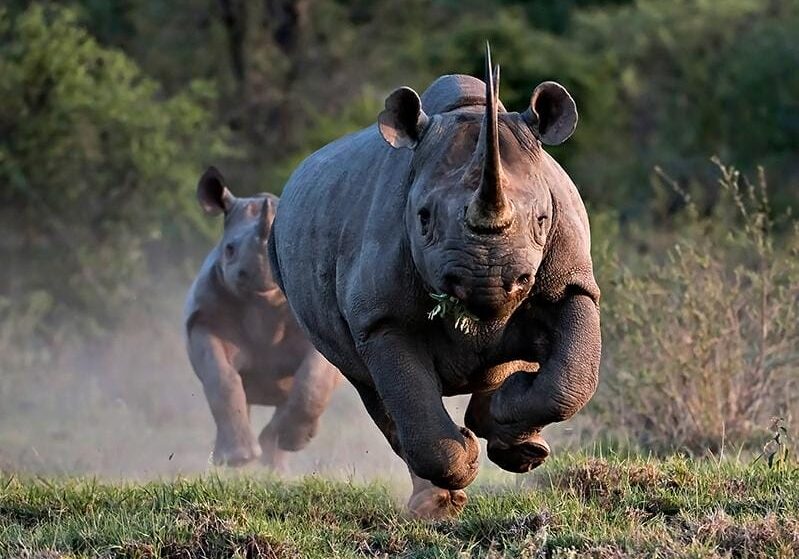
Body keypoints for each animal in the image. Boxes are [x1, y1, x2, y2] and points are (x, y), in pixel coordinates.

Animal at [184, 167, 341, 469]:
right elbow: (221, 376)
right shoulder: (204, 319)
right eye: (229, 249)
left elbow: (313, 379)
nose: (259, 275)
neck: (264, 304)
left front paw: (292, 440)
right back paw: (233, 461)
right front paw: (238, 458)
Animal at [269, 46, 600, 517]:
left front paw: (509, 422)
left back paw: (516, 445)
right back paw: (438, 502)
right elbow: (409, 397)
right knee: (372, 388)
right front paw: (464, 460)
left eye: (541, 219)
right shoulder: (381, 317)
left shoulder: (571, 282)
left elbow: (571, 377)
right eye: (423, 219)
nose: (489, 280)